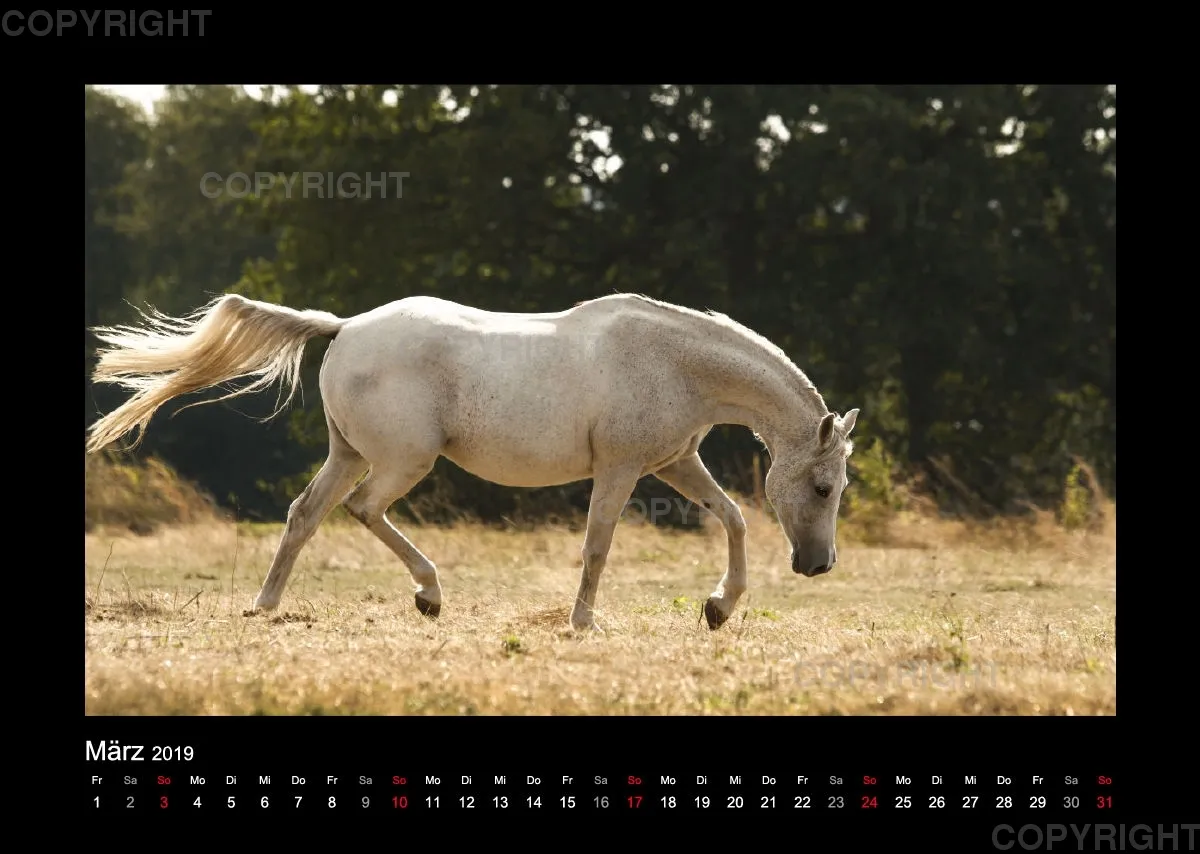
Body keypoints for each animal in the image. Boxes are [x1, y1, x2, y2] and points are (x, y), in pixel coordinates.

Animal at [85, 292, 859, 631]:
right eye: (823, 486)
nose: (818, 566)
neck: (671, 361)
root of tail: (346, 326)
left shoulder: (675, 464)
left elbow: (733, 520)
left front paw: (717, 608)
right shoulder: (621, 470)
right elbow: (598, 545)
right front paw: (582, 622)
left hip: (348, 454)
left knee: (306, 515)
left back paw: (266, 605)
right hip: (402, 462)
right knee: (364, 510)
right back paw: (428, 594)